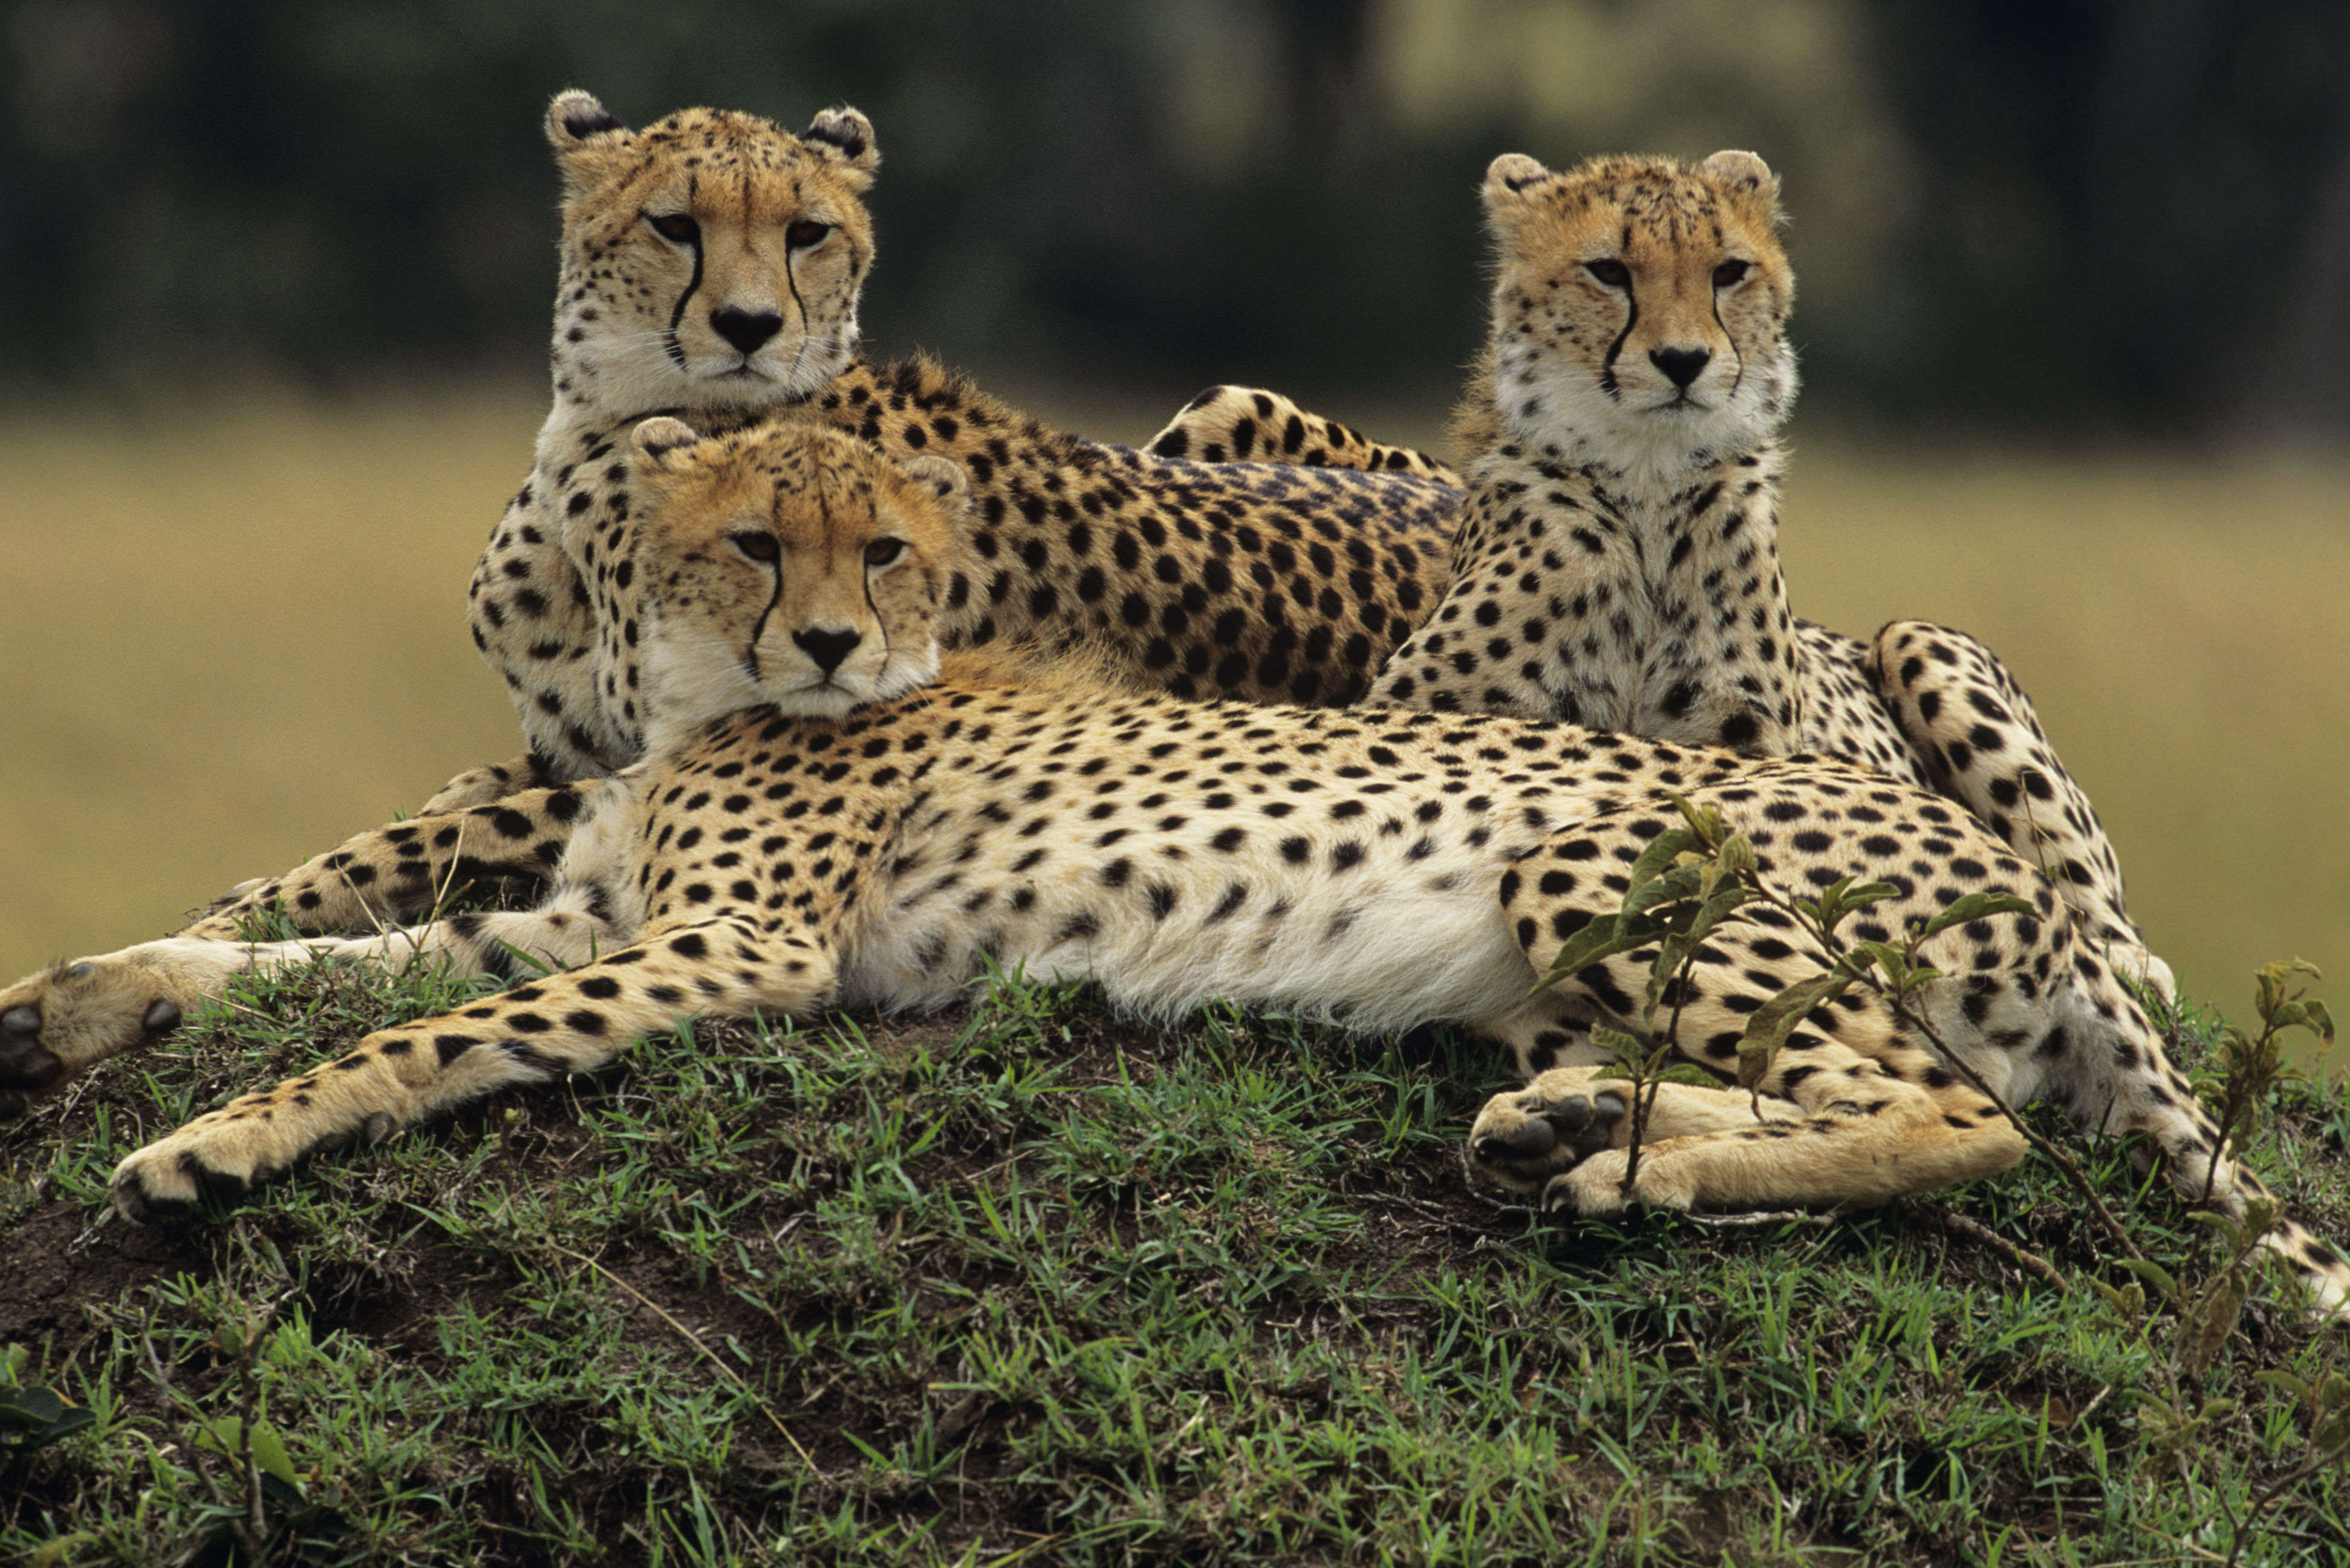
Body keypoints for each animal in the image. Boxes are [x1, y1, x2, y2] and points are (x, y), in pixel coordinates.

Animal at [13, 416, 2331, 1316]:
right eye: (761, 537)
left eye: (894, 549)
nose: (837, 641)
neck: (687, 693)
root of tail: (2013, 874)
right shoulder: (598, 909)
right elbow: (344, 959)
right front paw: (91, 997)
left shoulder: (730, 951)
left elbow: (418, 1031)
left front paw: (207, 1146)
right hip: (1576, 952)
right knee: (1857, 1088)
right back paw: (1577, 1122)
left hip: (1589, 849)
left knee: (1964, 1119)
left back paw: (1628, 1174)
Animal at [1147, 152, 2171, 1001]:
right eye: (1608, 270)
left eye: (1728, 272)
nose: (1682, 361)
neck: (1642, 486)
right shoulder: (1434, 718)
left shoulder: (1747, 748)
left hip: (1922, 641)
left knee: (2091, 900)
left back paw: (2123, 962)